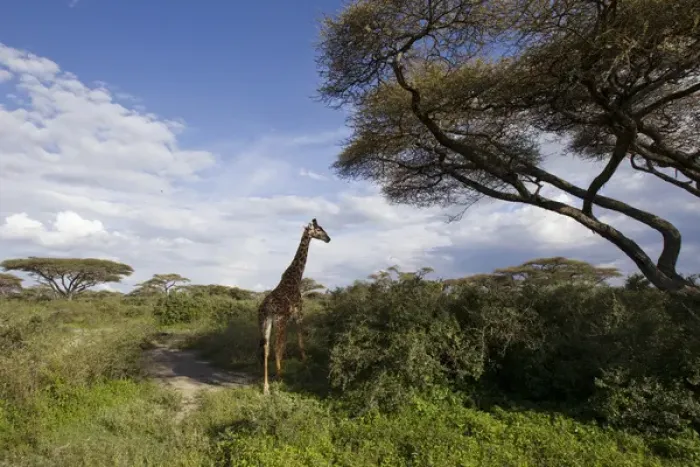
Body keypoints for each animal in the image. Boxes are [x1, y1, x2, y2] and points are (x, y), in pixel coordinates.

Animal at [258, 218, 331, 395]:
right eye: (319, 229)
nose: (328, 239)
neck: (295, 277)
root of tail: (266, 308)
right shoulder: (299, 314)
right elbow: (300, 342)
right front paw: (307, 369)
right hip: (280, 321)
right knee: (276, 348)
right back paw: (280, 380)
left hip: (264, 322)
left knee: (266, 349)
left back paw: (266, 387)